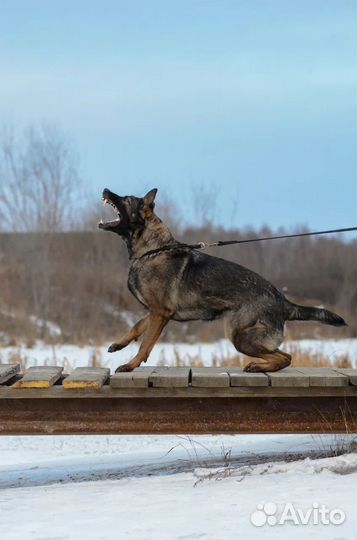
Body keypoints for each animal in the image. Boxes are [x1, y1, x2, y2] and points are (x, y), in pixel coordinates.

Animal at [97, 189, 344, 372]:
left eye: (126, 199)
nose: (106, 189)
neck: (153, 250)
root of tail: (282, 300)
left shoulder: (160, 312)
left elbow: (145, 343)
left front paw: (131, 365)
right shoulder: (156, 311)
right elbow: (137, 326)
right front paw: (119, 344)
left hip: (240, 336)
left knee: (287, 357)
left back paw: (257, 366)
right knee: (283, 356)